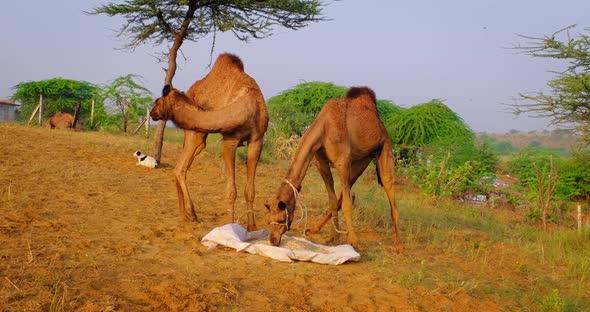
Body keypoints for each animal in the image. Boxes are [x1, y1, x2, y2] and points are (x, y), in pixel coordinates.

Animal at [149, 52, 270, 230]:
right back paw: (190, 214)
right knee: (179, 168)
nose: (152, 113)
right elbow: (231, 191)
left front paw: (252, 228)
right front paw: (230, 228)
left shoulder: (257, 140)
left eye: (157, 101)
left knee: (181, 168)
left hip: (199, 139)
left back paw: (185, 214)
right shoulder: (229, 140)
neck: (248, 105)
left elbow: (250, 191)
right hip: (194, 133)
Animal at [268, 86, 402, 251]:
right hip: (362, 160)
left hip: (385, 150)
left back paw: (399, 245)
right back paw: (314, 229)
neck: (324, 128)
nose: (273, 240)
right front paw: (334, 238)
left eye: (282, 219)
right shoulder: (322, 163)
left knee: (389, 192)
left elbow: (347, 203)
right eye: (269, 220)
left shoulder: (342, 162)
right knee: (344, 193)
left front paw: (353, 240)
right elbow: (332, 200)